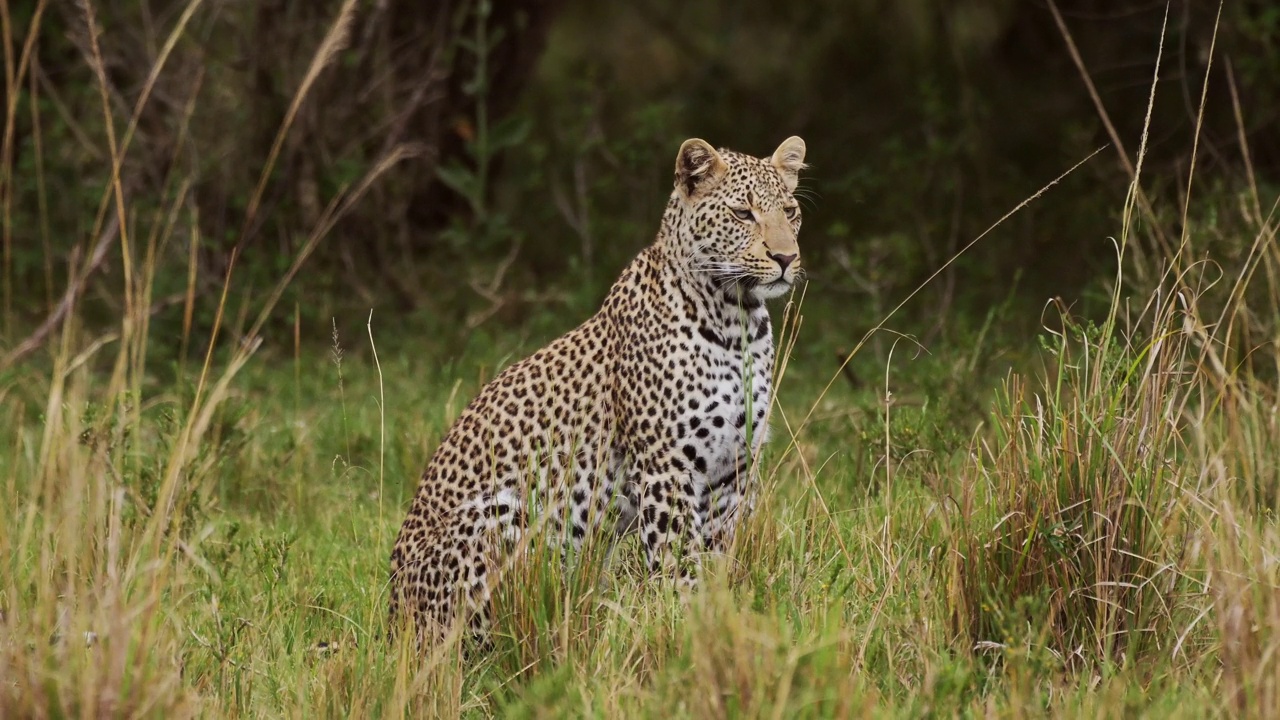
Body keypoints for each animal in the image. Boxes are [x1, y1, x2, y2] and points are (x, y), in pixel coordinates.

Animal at [389, 133, 803, 638]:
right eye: (743, 214)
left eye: (791, 211)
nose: (786, 258)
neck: (736, 322)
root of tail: (391, 616)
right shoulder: (666, 466)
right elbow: (676, 560)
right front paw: (683, 623)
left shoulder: (734, 469)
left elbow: (717, 556)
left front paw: (716, 617)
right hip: (500, 512)